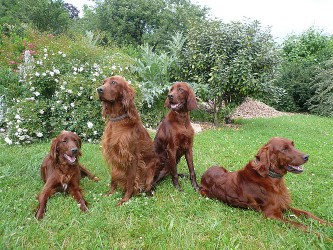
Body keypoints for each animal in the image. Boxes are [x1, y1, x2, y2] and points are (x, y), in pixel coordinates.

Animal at [96, 75, 159, 204]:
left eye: (114, 82)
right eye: (104, 82)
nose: (99, 89)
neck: (117, 121)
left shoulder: (132, 157)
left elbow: (131, 180)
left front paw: (125, 199)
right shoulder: (113, 155)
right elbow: (113, 177)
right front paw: (110, 193)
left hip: (151, 169)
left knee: (149, 187)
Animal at [198, 137, 330, 232]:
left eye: (293, 145)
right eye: (284, 149)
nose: (306, 156)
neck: (271, 178)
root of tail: (204, 174)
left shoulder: (284, 205)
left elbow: (307, 214)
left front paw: (328, 224)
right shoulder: (272, 214)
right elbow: (301, 225)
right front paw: (324, 237)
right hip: (205, 193)